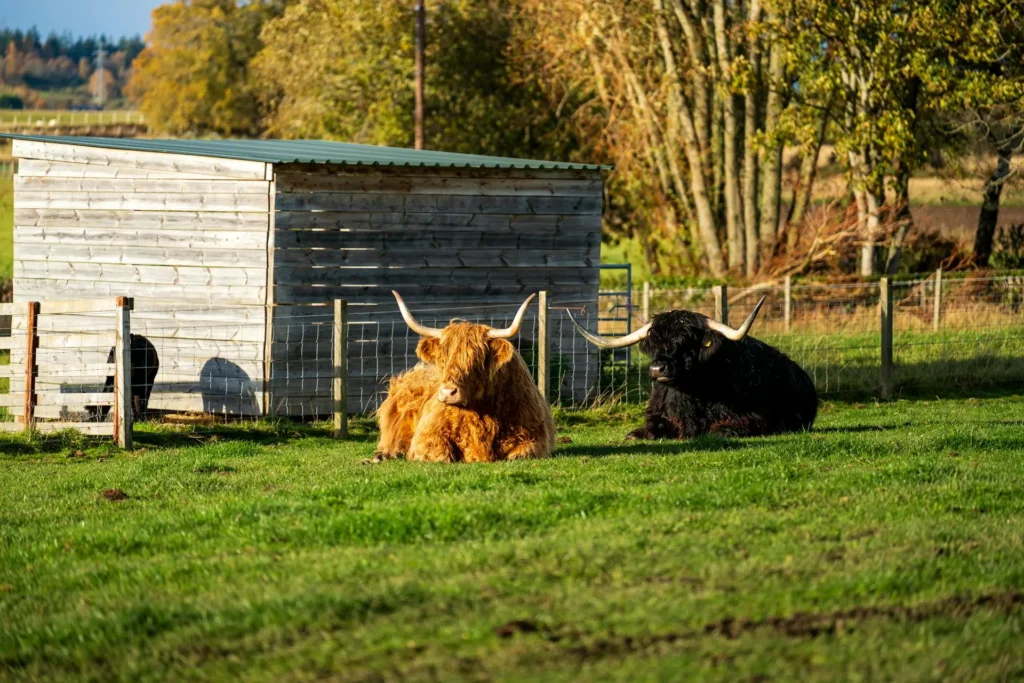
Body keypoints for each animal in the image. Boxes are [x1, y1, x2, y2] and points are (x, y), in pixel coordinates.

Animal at [373, 291, 556, 463]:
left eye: (476, 358)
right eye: (442, 358)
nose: (447, 393)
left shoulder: (537, 439)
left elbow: (521, 453)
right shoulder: (426, 436)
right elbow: (441, 455)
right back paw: (385, 454)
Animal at [568, 297, 817, 440]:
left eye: (686, 341)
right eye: (654, 344)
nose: (657, 369)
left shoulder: (756, 417)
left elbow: (720, 430)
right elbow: (641, 432)